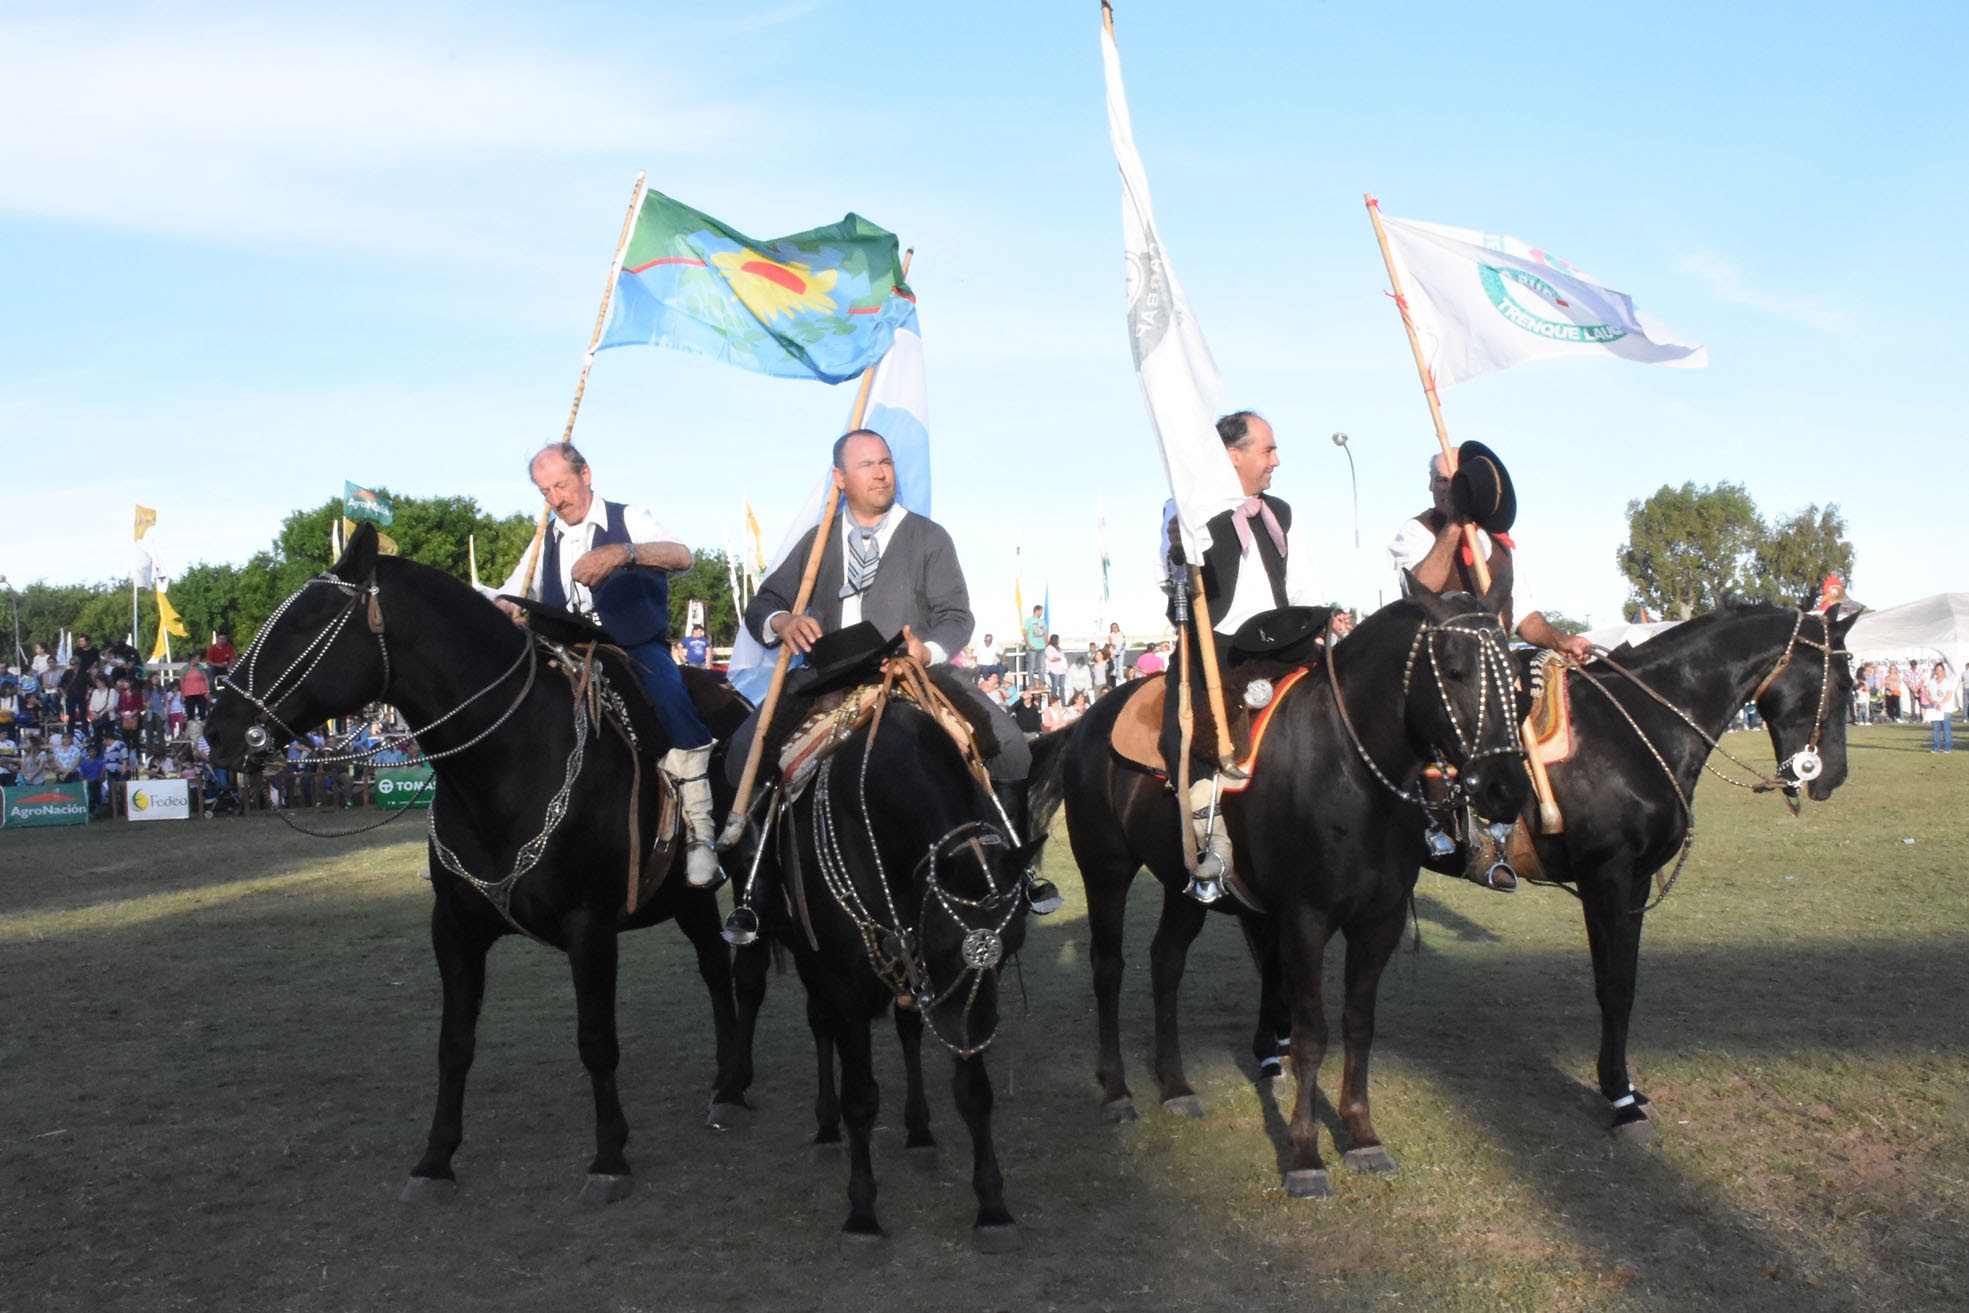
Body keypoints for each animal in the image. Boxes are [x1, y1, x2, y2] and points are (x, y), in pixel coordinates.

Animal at [736, 677, 1047, 1251]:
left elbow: (973, 1092)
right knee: (820, 1026)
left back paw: (919, 1131)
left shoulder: (943, 988)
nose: (968, 1033)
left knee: (907, 1029)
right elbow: (860, 1096)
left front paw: (992, 1206)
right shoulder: (846, 981)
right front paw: (862, 1212)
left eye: (1011, 944)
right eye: (945, 941)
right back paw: (826, 1128)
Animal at [1039, 578, 1527, 1196]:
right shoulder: (1304, 921)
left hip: (1183, 885)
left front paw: (1362, 1134)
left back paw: (1175, 1085)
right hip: (1105, 869)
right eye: (1455, 669)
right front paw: (1304, 1153)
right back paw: (1118, 1090)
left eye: (1516, 675)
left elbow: (1359, 1026)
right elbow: (1311, 1033)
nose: (1506, 788)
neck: (1351, 769)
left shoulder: (1380, 922)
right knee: (1109, 968)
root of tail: (1087, 721)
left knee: (1166, 963)